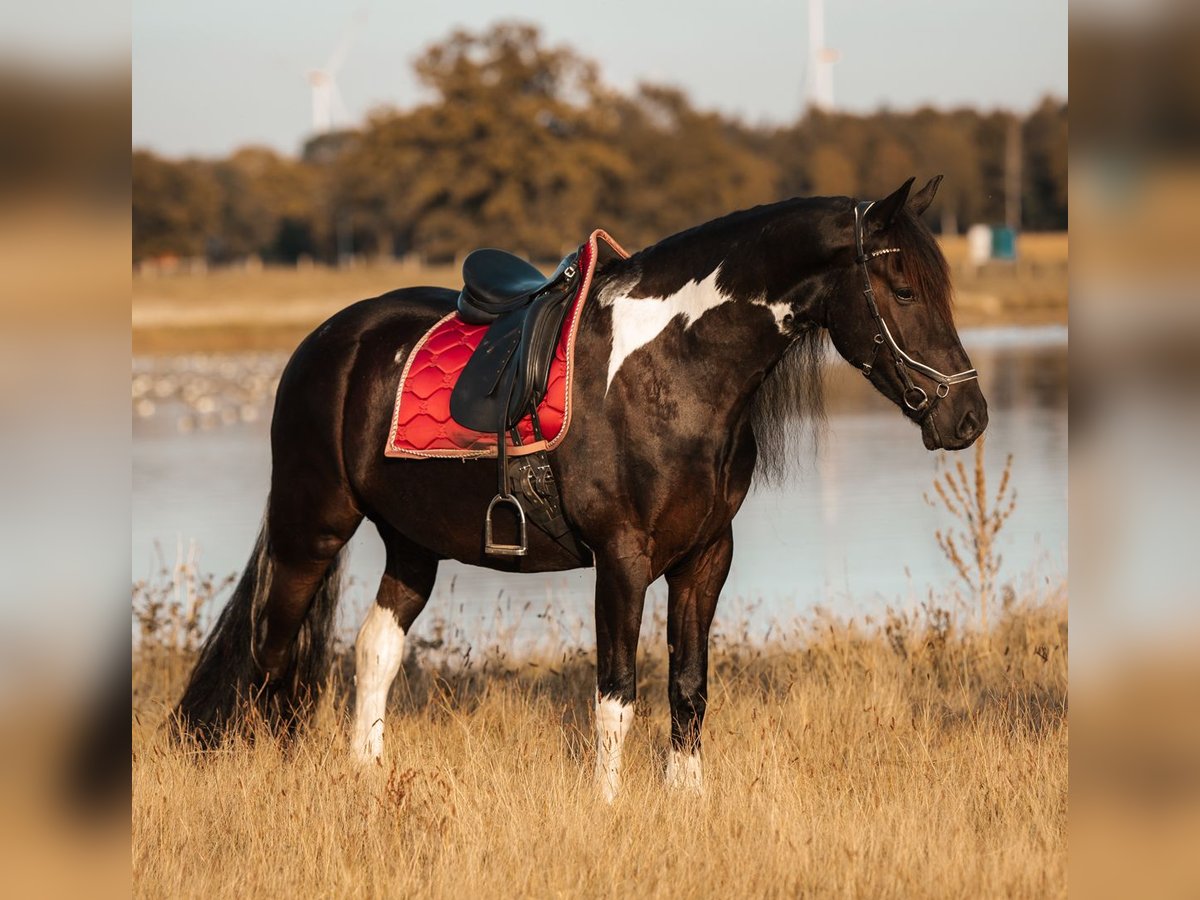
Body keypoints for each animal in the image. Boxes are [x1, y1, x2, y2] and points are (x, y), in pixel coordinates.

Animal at [175, 176, 984, 801]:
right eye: (902, 288)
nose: (969, 416)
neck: (670, 370)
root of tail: (325, 342)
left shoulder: (705, 558)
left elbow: (688, 686)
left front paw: (686, 802)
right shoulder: (621, 558)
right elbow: (616, 693)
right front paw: (609, 805)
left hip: (411, 543)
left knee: (375, 650)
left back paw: (367, 775)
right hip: (310, 527)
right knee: (270, 656)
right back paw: (279, 777)